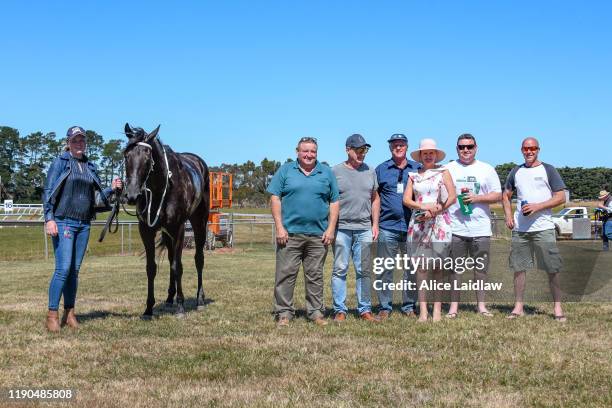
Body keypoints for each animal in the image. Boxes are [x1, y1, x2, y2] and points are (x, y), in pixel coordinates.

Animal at [123, 124, 212, 318]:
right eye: (126, 155)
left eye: (147, 157)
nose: (132, 195)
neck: (160, 189)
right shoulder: (146, 230)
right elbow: (151, 267)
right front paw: (149, 309)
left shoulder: (178, 229)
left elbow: (177, 266)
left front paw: (181, 307)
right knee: (171, 258)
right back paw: (170, 298)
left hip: (199, 223)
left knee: (198, 259)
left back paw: (199, 299)